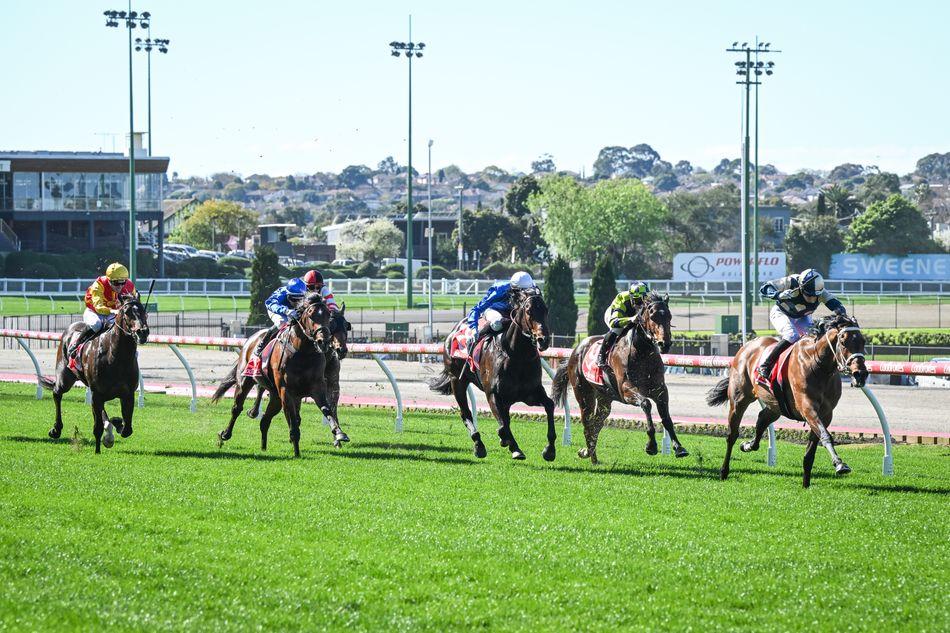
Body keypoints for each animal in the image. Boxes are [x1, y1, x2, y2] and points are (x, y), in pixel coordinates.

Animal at [39, 294, 150, 452]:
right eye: (127, 312)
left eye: (143, 310)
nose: (143, 332)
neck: (116, 357)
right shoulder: (97, 393)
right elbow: (98, 427)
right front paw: (104, 440)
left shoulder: (127, 394)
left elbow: (127, 429)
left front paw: (116, 424)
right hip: (64, 378)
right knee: (57, 394)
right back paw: (56, 429)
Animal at [212, 292, 350, 454]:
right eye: (311, 315)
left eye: (328, 316)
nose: (324, 341)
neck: (303, 353)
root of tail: (250, 340)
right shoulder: (286, 391)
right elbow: (293, 420)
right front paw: (296, 448)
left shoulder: (320, 387)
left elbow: (327, 409)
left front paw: (339, 434)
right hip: (245, 381)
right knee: (237, 408)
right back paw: (225, 434)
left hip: (275, 397)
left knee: (265, 419)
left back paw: (263, 447)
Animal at [426, 288, 556, 460]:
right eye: (529, 311)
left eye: (546, 310)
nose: (543, 340)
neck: (517, 355)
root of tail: (453, 331)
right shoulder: (493, 394)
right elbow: (503, 426)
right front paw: (514, 447)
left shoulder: (531, 393)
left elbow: (550, 405)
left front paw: (549, 450)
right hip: (457, 381)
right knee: (466, 413)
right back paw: (479, 445)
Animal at [552, 292, 684, 464]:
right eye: (653, 316)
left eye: (669, 315)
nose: (664, 343)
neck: (641, 352)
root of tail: (576, 351)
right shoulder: (626, 390)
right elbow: (646, 403)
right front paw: (651, 446)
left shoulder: (660, 389)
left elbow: (667, 418)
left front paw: (678, 447)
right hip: (584, 394)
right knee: (587, 424)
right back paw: (591, 455)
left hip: (604, 398)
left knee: (597, 423)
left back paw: (588, 452)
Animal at [708, 314, 872, 486]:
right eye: (843, 341)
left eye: (862, 341)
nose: (860, 374)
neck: (817, 364)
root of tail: (746, 347)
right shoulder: (808, 407)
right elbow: (825, 435)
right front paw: (840, 464)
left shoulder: (826, 414)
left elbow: (811, 450)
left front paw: (806, 484)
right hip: (739, 400)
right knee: (732, 435)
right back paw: (724, 471)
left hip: (775, 405)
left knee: (762, 418)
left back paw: (748, 445)